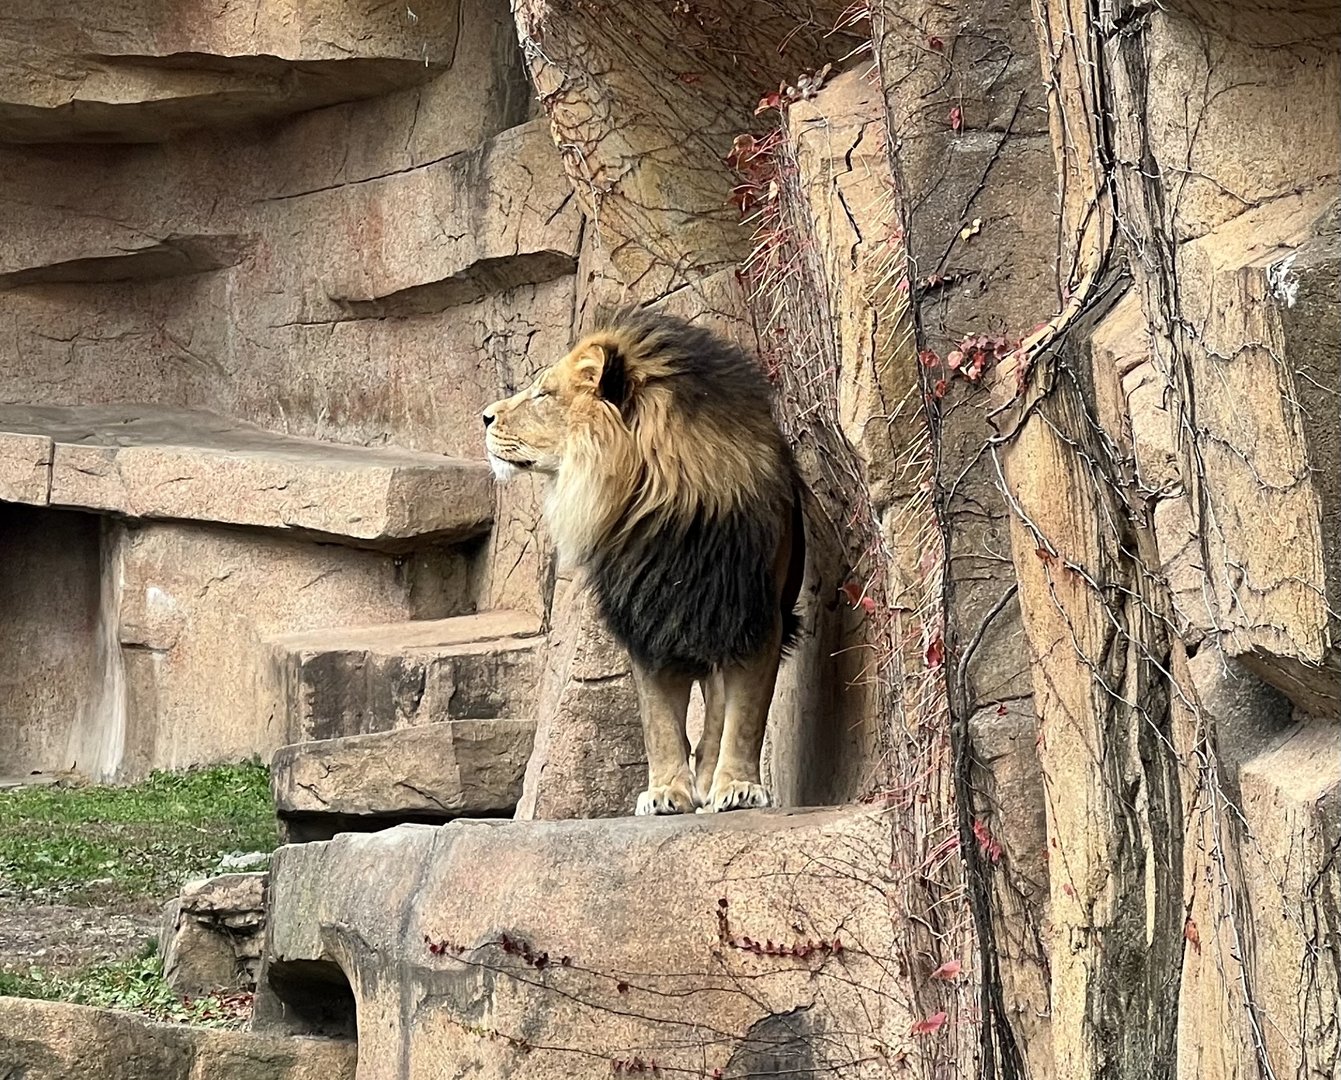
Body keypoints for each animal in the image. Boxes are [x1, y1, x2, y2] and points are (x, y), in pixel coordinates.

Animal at [482, 307, 805, 815]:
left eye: (543, 394)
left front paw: (737, 786)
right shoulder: (648, 618)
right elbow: (659, 723)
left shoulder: (753, 614)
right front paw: (667, 791)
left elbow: (746, 716)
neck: (662, 504)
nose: (485, 416)